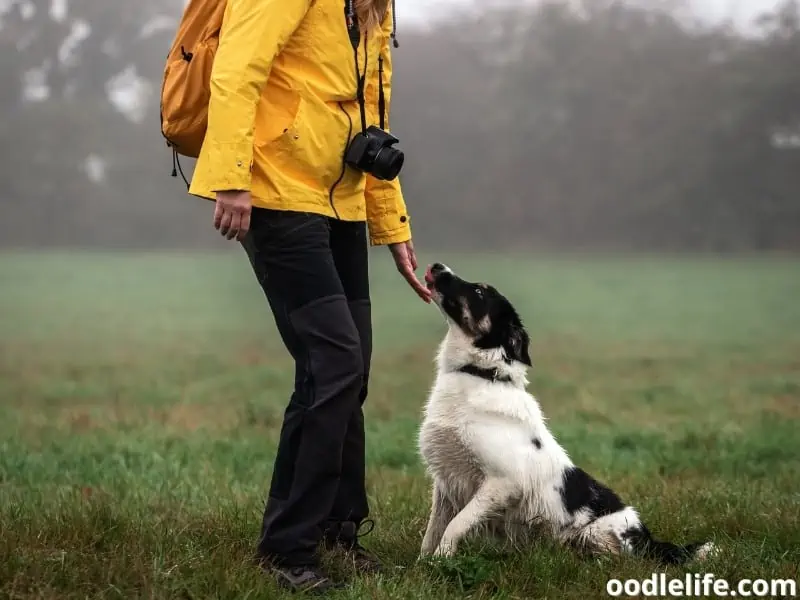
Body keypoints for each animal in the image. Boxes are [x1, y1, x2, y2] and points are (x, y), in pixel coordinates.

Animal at [416, 262, 716, 564]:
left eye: (479, 291)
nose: (437, 266)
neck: (481, 374)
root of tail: (648, 539)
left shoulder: (502, 484)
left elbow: (456, 524)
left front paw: (443, 557)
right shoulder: (446, 485)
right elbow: (433, 530)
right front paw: (425, 563)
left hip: (595, 533)